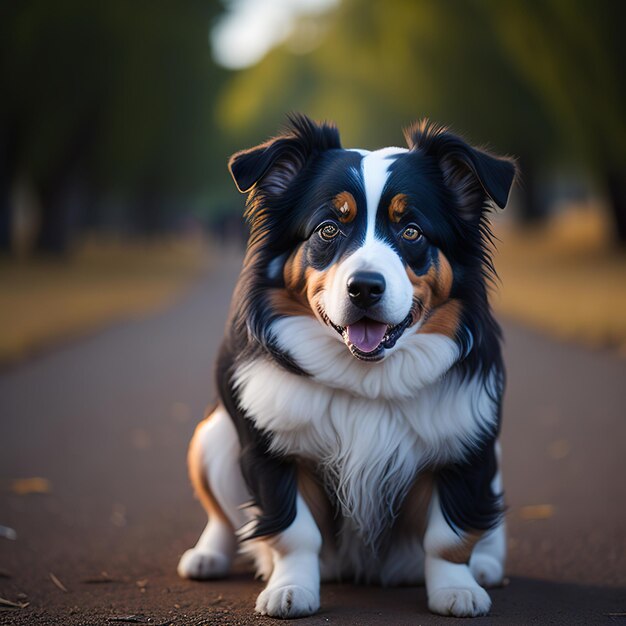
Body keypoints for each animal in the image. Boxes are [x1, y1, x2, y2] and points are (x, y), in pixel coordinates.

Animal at [177, 114, 516, 616]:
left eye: (411, 231)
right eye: (328, 229)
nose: (365, 288)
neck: (368, 378)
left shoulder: (464, 442)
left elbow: (449, 535)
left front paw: (457, 588)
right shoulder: (272, 449)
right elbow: (294, 531)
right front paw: (290, 588)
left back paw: (487, 565)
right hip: (213, 435)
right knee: (221, 516)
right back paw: (207, 556)